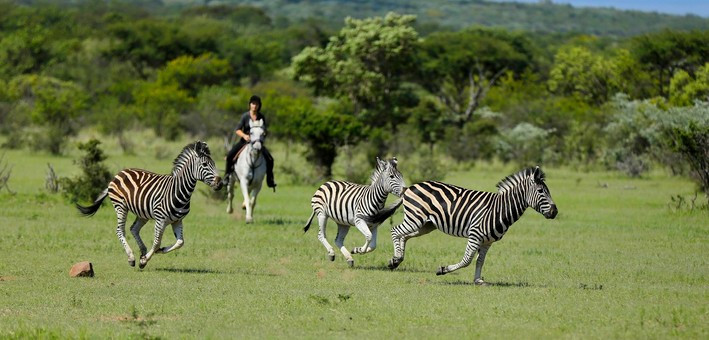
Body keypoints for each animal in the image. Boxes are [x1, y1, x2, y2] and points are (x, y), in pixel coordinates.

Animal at [75, 140, 221, 268]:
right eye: (205, 165)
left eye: (214, 163)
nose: (220, 183)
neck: (179, 192)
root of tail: (120, 173)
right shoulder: (160, 220)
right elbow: (157, 242)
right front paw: (144, 261)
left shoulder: (177, 220)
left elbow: (180, 242)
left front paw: (158, 251)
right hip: (120, 206)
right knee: (120, 230)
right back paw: (132, 257)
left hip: (142, 213)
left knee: (133, 229)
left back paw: (143, 251)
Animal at [390, 165, 556, 284]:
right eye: (541, 191)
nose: (555, 212)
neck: (500, 209)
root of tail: (411, 187)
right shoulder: (475, 235)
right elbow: (467, 260)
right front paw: (443, 269)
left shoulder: (488, 241)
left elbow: (480, 261)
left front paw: (477, 280)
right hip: (415, 218)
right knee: (395, 230)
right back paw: (396, 258)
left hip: (426, 225)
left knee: (404, 236)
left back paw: (396, 260)